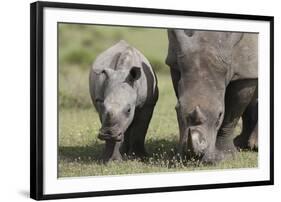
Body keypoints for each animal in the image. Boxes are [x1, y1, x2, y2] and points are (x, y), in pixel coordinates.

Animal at [165, 29, 258, 163]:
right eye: (176, 110)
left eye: (219, 115)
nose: (194, 158)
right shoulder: (175, 62)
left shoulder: (246, 71)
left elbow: (231, 117)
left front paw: (227, 156)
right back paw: (241, 144)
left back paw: (253, 146)